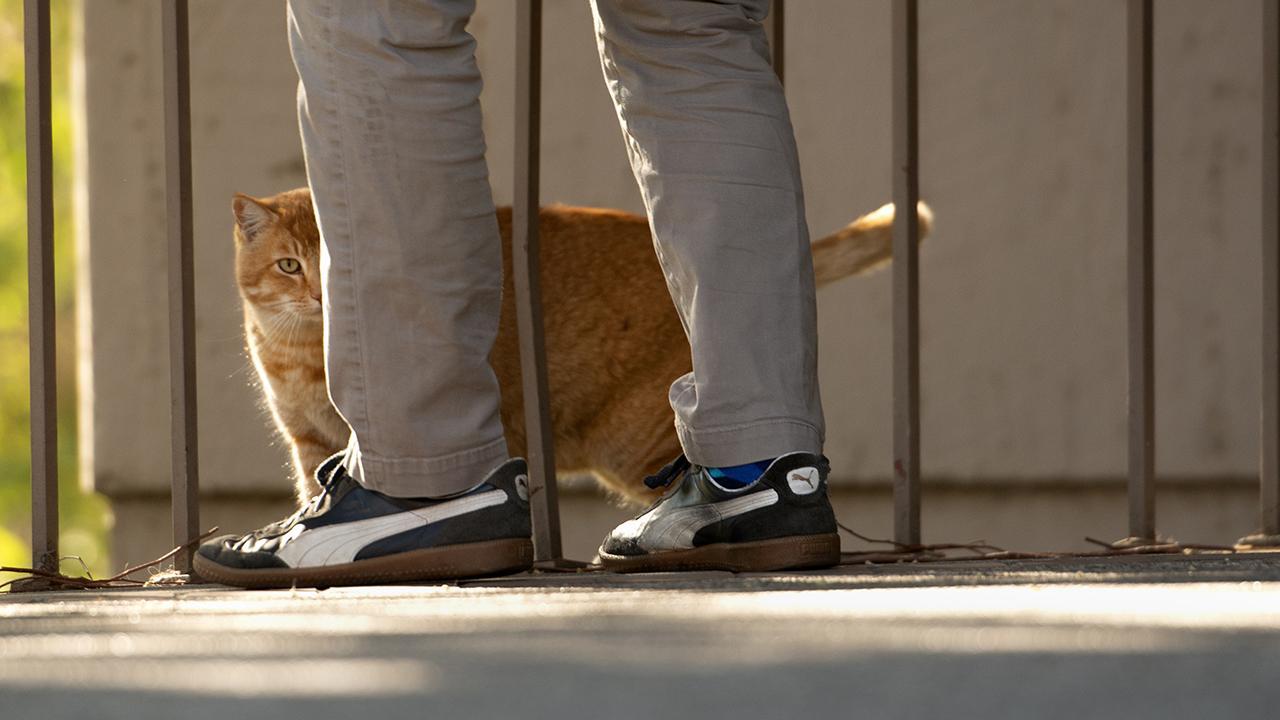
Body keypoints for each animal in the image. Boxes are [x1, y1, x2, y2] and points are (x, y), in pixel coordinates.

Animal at [232, 190, 931, 504]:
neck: (305, 360)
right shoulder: (307, 442)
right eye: (290, 266)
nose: (320, 299)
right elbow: (313, 490)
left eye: (332, 271)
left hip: (633, 445)